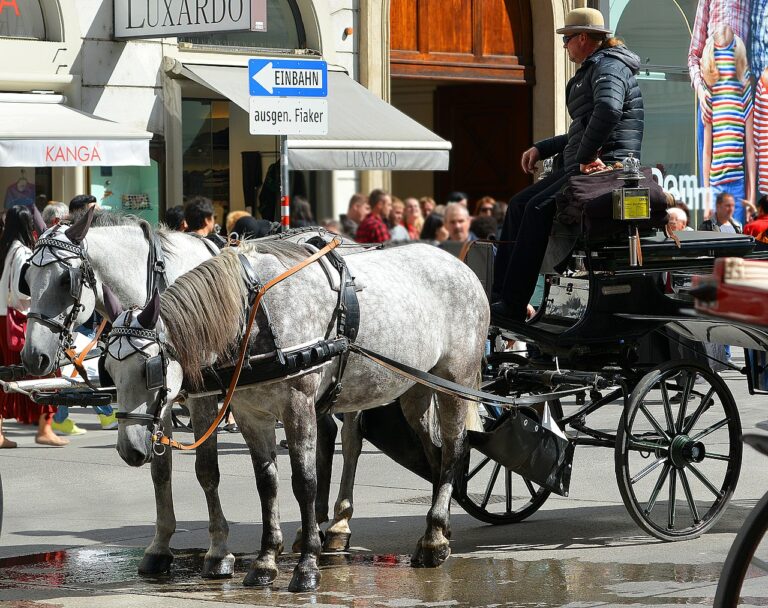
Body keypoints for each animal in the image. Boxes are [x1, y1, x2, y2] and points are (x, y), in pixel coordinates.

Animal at [103, 240, 486, 592]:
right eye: (107, 369)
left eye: (151, 370)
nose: (129, 449)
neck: (254, 313)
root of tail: (460, 265)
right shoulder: (250, 414)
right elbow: (266, 484)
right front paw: (265, 561)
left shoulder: (297, 405)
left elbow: (304, 482)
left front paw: (306, 565)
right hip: (417, 388)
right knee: (435, 453)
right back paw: (440, 528)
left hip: (455, 383)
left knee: (454, 449)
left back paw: (432, 539)